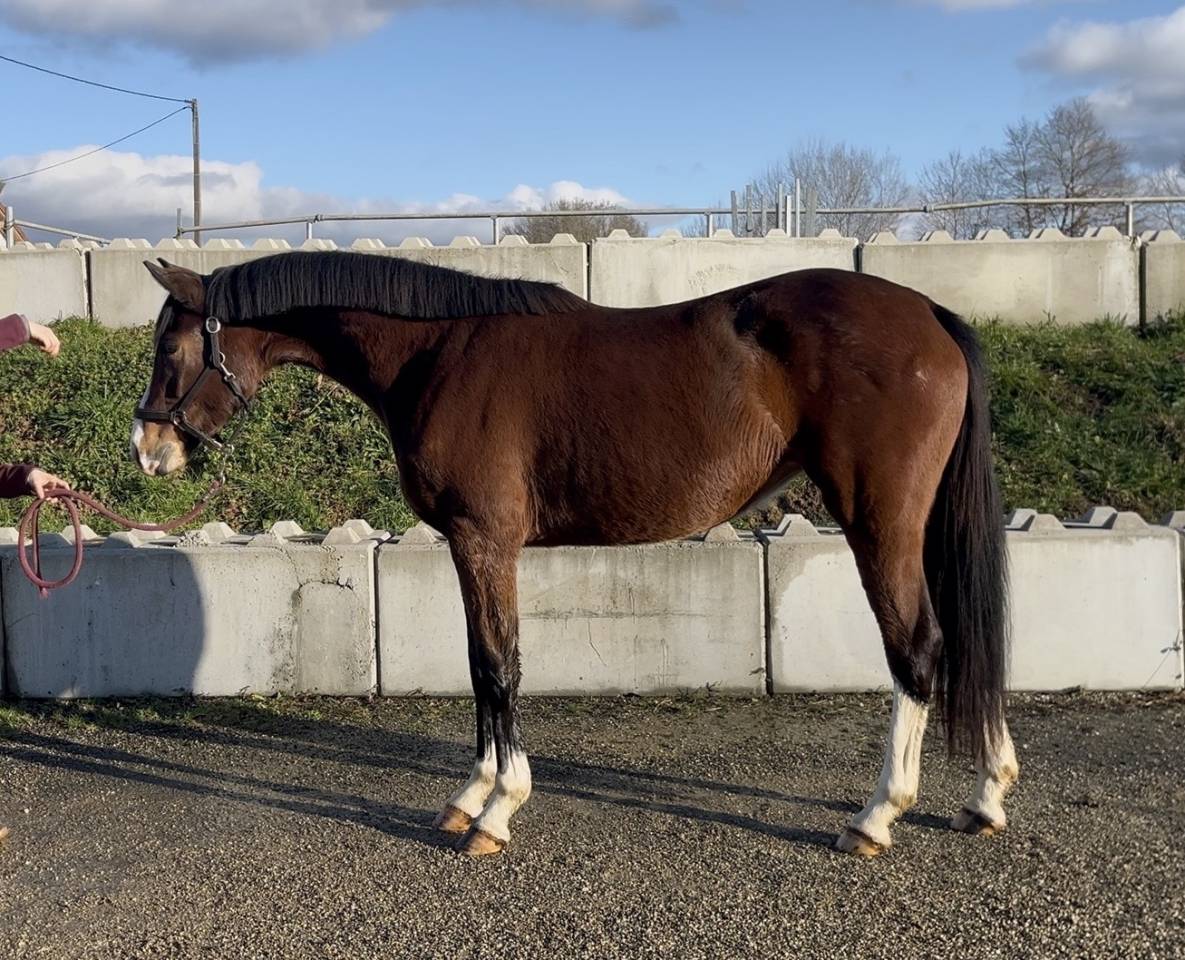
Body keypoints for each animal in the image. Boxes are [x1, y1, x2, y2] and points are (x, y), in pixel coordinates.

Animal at [130, 250, 1017, 858]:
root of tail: (928, 313)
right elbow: (478, 664)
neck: (439, 354)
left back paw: (876, 816)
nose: (148, 452)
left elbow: (498, 665)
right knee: (966, 640)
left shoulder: (484, 539)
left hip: (879, 519)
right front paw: (470, 794)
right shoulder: (471, 546)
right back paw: (985, 797)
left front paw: (497, 811)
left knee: (917, 647)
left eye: (170, 352)